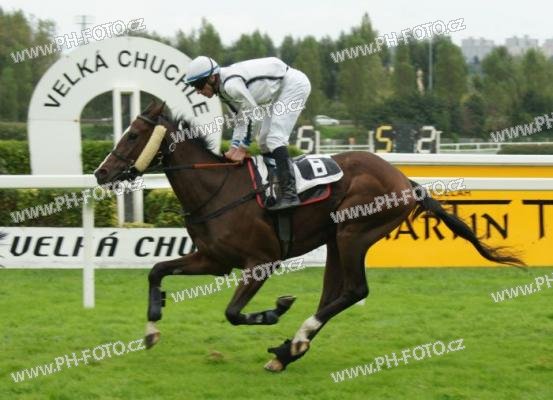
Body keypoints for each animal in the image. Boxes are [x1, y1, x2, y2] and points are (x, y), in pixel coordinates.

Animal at [94, 102, 523, 372]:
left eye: (132, 135)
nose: (100, 173)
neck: (217, 189)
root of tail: (405, 181)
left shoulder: (262, 262)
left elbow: (233, 313)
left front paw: (275, 310)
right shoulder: (213, 260)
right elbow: (156, 270)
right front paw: (151, 329)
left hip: (354, 232)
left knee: (353, 291)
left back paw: (293, 341)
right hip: (336, 239)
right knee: (333, 294)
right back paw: (288, 351)